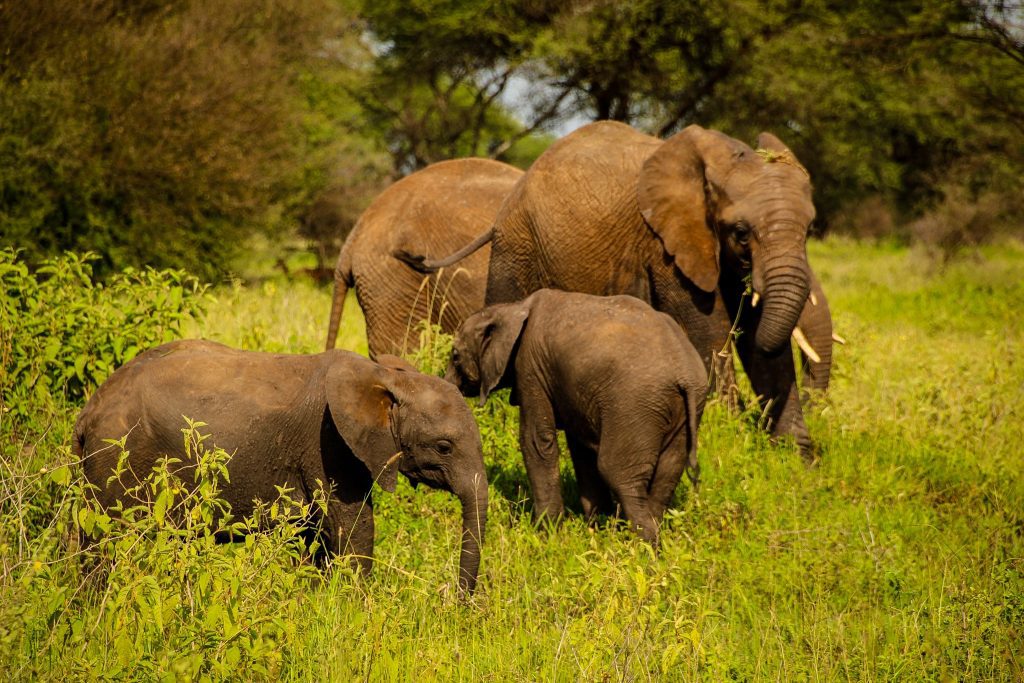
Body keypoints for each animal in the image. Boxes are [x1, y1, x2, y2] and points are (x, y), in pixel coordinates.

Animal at [73, 339, 487, 593]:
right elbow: (352, 527)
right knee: (107, 543)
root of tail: (88, 412)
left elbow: (315, 535)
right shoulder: (329, 444)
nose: (453, 603)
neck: (382, 378)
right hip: (116, 461)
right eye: (444, 447)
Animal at [399, 121, 823, 458]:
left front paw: (798, 458)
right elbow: (709, 327)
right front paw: (728, 437)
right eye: (741, 233)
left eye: (809, 229)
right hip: (517, 245)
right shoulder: (665, 244)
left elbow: (759, 334)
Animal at [444, 288, 708, 544]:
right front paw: (596, 525)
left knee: (619, 474)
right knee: (667, 474)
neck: (512, 308)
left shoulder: (531, 366)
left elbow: (536, 441)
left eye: (455, 356)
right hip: (683, 411)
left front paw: (545, 534)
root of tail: (685, 375)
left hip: (636, 405)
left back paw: (642, 548)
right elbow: (580, 449)